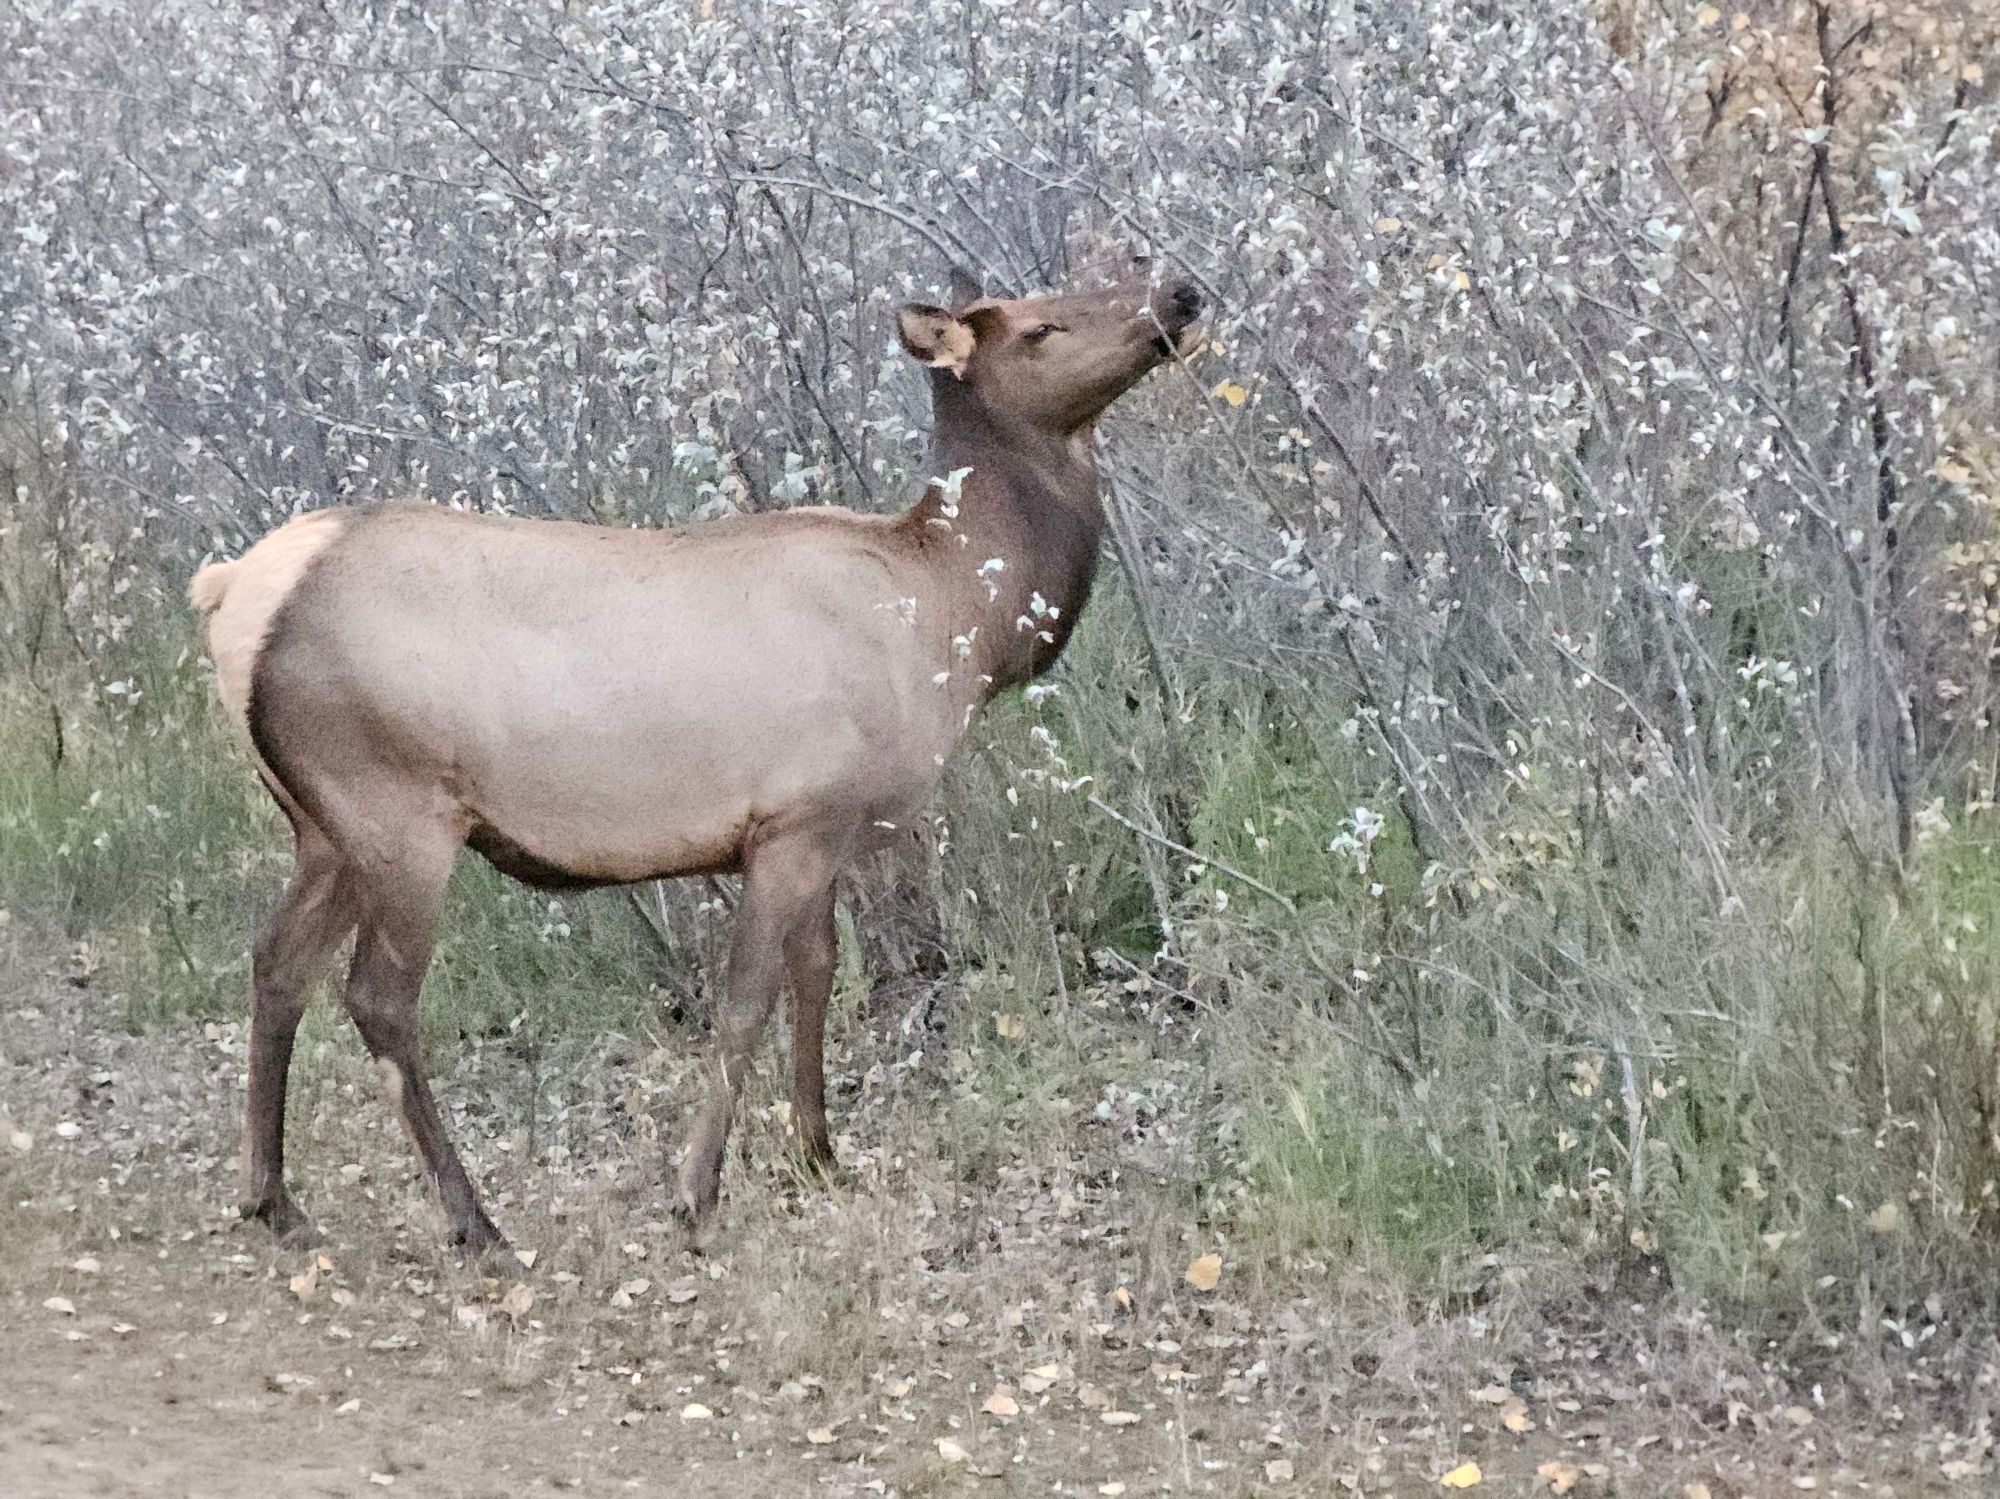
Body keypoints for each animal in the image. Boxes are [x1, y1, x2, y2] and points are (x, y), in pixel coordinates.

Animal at [191, 273, 1200, 1255]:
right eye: (1042, 325)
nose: (1180, 293)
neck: (954, 619)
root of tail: (233, 593)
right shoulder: (794, 817)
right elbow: (747, 997)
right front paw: (696, 1191)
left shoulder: (820, 828)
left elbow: (817, 973)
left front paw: (818, 1154)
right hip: (397, 812)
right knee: (378, 997)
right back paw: (473, 1221)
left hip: (325, 827)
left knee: (276, 960)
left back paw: (273, 1200)